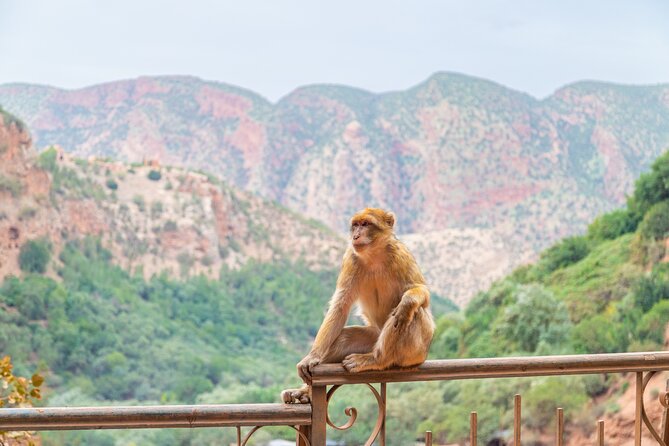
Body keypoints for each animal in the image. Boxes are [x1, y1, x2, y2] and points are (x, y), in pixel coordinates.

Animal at [280, 206, 434, 404]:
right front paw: (312, 357)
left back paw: (377, 359)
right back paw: (304, 392)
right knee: (344, 337)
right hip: (373, 336)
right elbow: (340, 306)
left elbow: (421, 291)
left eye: (366, 224)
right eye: (355, 225)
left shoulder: (402, 255)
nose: (356, 236)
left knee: (412, 313)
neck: (374, 254)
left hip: (415, 351)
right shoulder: (350, 259)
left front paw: (407, 302)